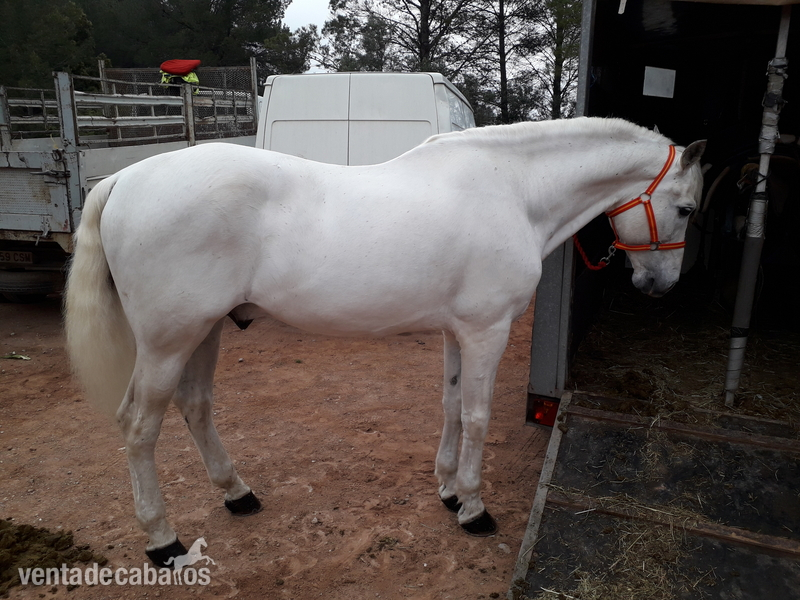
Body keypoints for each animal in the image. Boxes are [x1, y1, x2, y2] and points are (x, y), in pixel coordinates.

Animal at [64, 117, 705, 567]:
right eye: (685, 207)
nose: (661, 285)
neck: (514, 191)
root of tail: (126, 179)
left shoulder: (458, 330)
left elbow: (451, 406)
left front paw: (447, 490)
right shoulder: (487, 330)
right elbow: (477, 416)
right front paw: (474, 508)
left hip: (204, 331)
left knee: (195, 407)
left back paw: (237, 494)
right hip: (168, 341)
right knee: (139, 427)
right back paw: (163, 539)